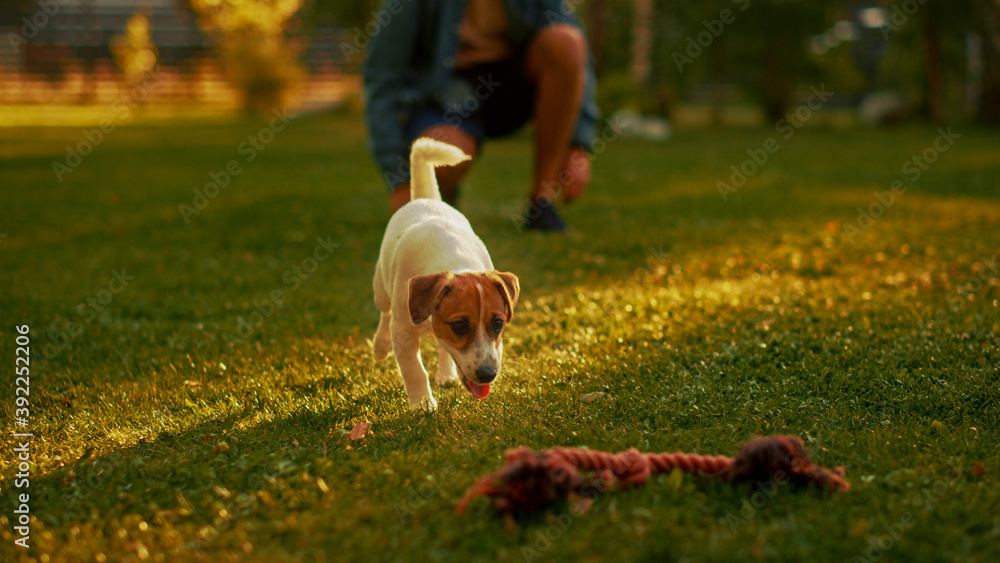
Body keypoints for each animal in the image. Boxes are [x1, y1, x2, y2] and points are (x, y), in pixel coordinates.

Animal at [372, 137, 520, 410]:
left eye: (498, 324)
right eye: (459, 326)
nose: (488, 375)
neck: (454, 261)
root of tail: (426, 198)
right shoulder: (403, 332)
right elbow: (414, 369)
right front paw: (422, 403)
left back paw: (446, 374)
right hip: (381, 289)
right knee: (384, 312)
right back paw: (380, 345)